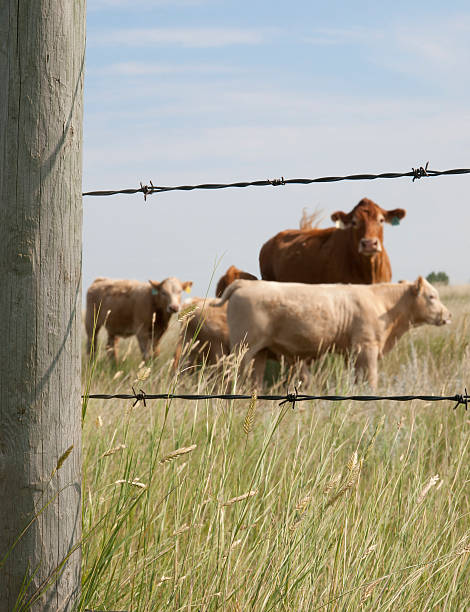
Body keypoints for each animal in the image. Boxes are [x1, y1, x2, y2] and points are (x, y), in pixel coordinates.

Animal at [218, 278, 452, 388]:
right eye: (431, 296)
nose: (448, 315)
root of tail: (246, 283)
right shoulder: (367, 347)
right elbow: (371, 379)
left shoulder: (353, 353)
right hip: (243, 348)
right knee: (230, 374)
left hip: (260, 352)